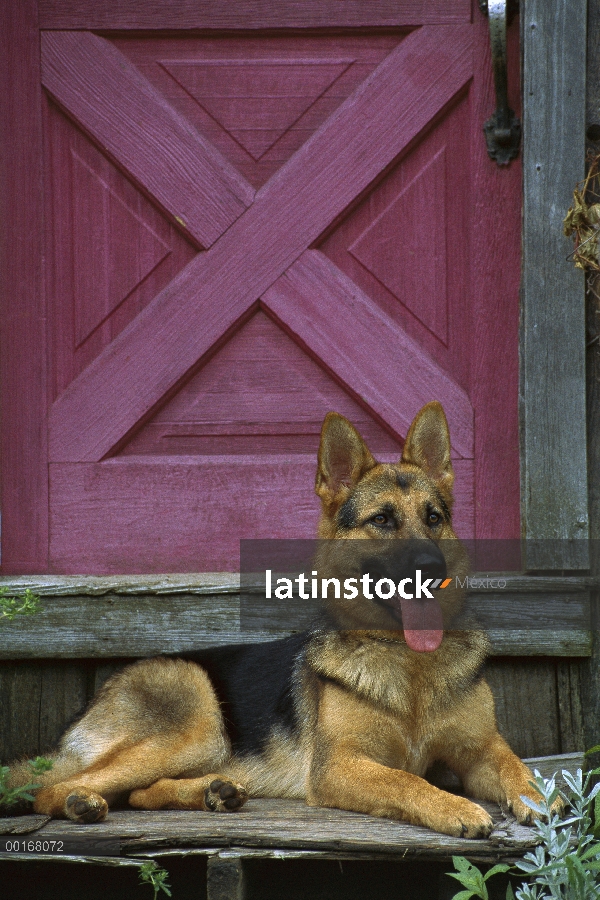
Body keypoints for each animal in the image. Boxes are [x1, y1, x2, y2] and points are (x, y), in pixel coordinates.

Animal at [12, 400, 548, 836]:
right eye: (382, 520)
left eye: (434, 518)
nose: (432, 568)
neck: (409, 662)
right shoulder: (339, 767)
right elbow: (405, 781)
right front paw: (454, 807)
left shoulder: (481, 750)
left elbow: (518, 767)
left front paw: (539, 800)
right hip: (197, 718)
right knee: (50, 790)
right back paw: (83, 802)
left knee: (140, 793)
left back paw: (214, 792)